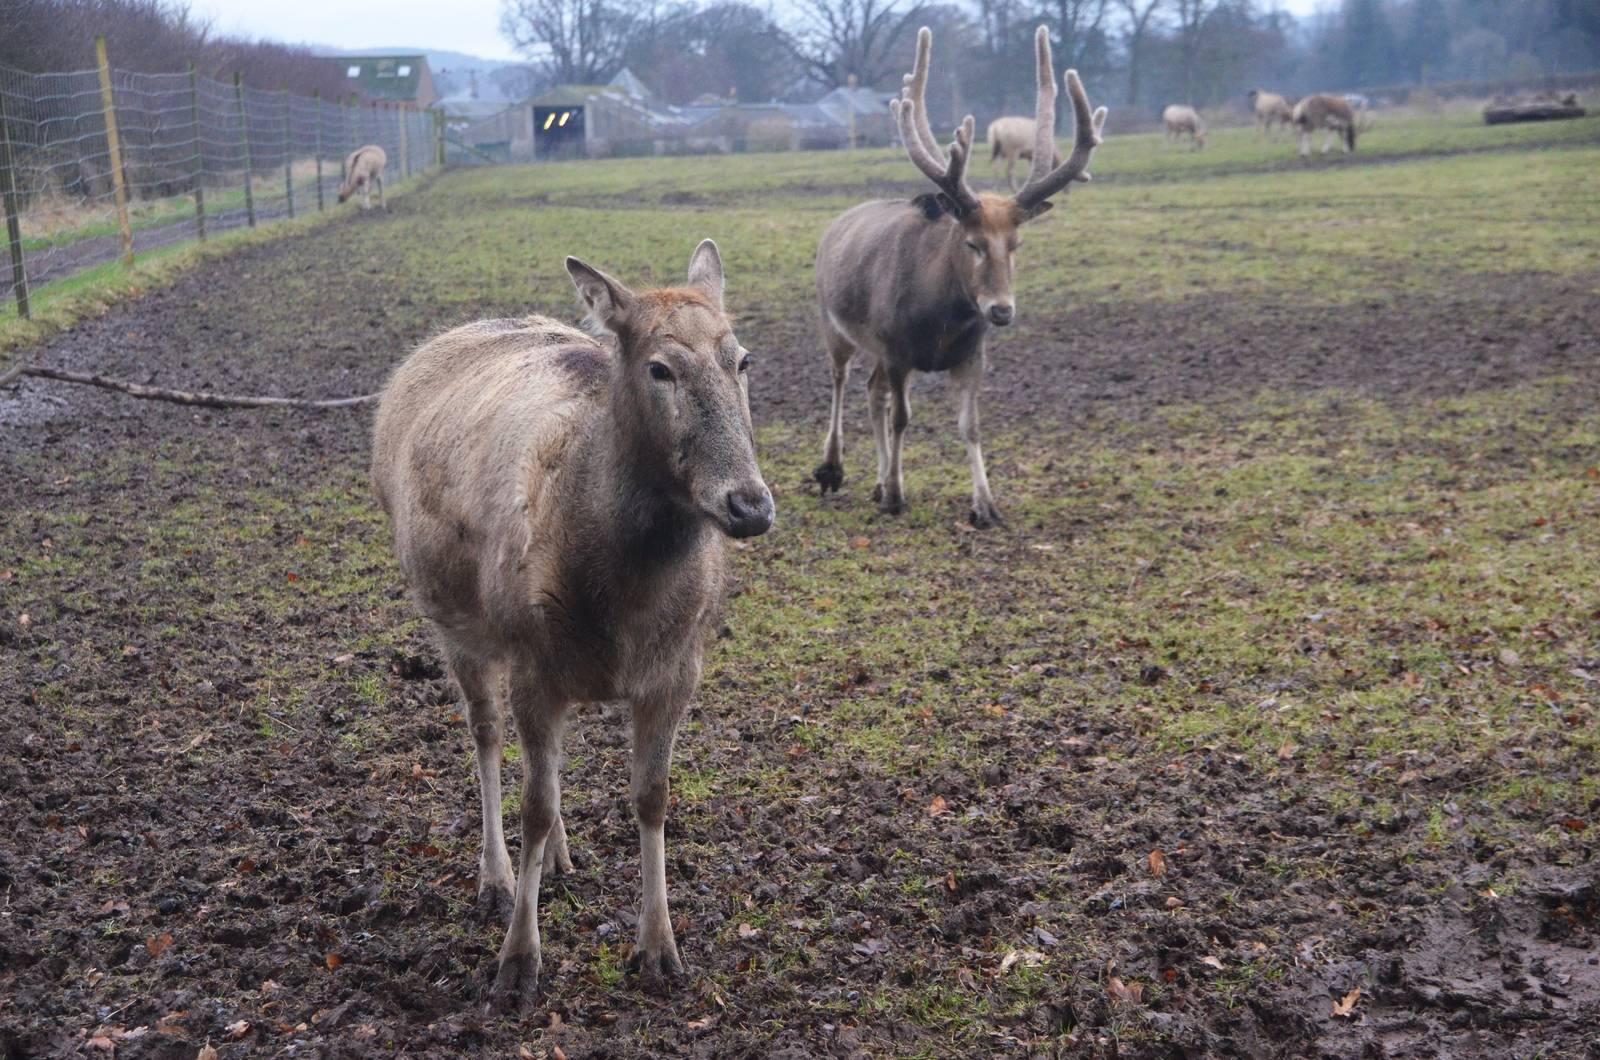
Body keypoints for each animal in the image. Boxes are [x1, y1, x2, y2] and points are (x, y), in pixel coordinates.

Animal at [371, 240, 774, 1009]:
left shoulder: (677, 670)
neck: (626, 605)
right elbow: (530, 801)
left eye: (742, 359)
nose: (750, 504)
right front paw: (517, 964)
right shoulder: (533, 663)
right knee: (488, 737)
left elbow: (651, 798)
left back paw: (558, 854)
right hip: (459, 624)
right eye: (659, 367)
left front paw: (660, 950)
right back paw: (497, 878)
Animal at [813, 26, 1106, 528]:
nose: (1001, 310)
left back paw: (876, 480)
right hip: (833, 322)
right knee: (839, 378)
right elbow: (902, 417)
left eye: (1016, 244)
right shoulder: (897, 348)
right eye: (972, 243)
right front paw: (897, 495)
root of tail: (837, 223)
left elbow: (970, 424)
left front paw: (985, 504)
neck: (939, 325)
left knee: (871, 391)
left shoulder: (970, 354)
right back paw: (834, 470)